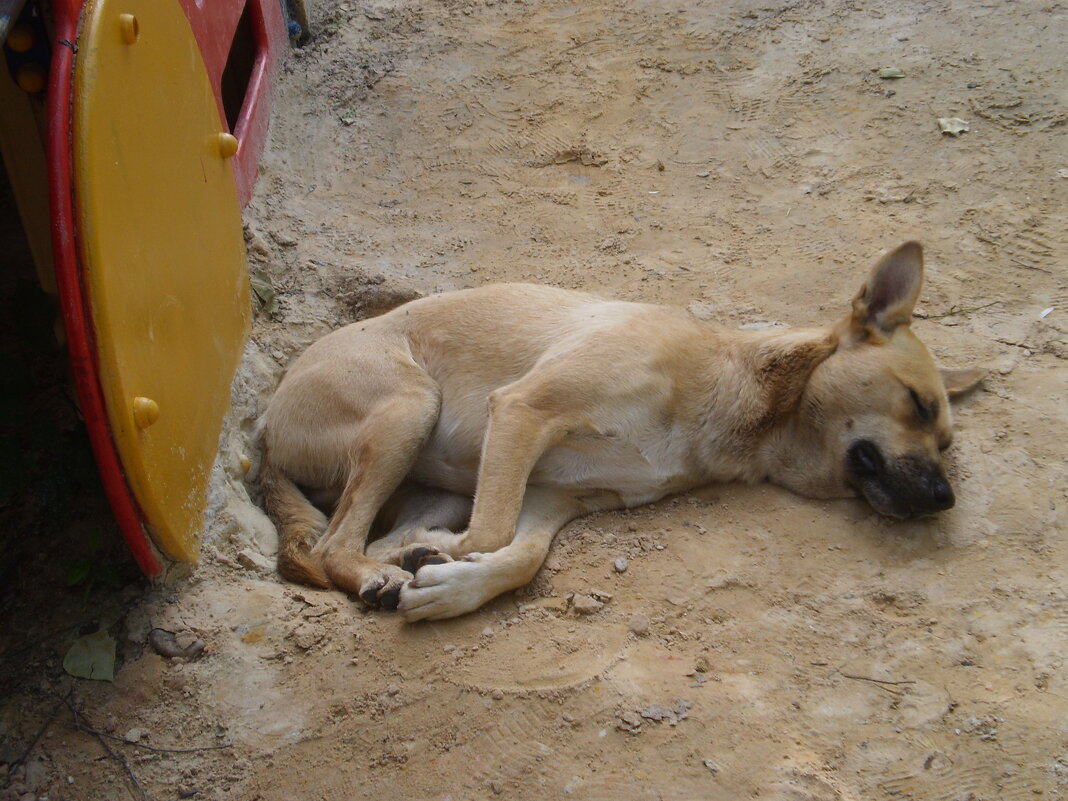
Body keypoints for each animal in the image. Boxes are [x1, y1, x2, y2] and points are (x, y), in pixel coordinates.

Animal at [262, 241, 978, 623]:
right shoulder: (522, 410)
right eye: (918, 404)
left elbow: (520, 556)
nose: (945, 499)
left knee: (365, 537)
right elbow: (492, 533)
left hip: (432, 475)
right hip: (410, 407)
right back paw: (376, 574)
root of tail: (263, 431)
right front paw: (448, 561)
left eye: (945, 442)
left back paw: (401, 557)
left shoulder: (555, 496)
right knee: (331, 548)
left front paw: (452, 581)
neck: (730, 383)